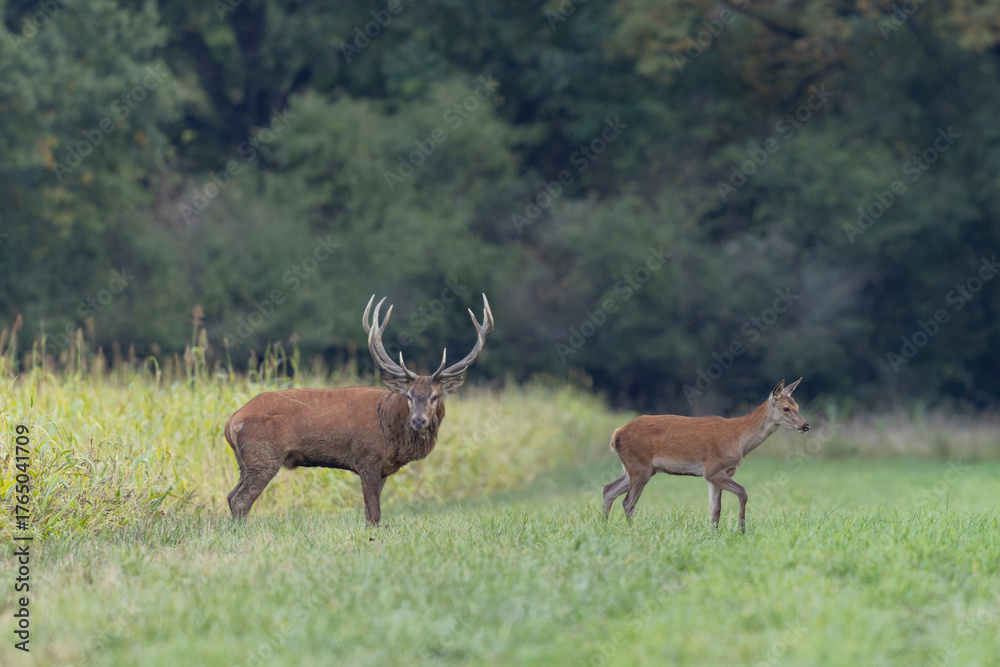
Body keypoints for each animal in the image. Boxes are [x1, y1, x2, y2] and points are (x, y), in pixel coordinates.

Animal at [224, 293, 494, 526]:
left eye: (435, 396)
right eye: (409, 395)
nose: (418, 420)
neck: (391, 430)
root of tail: (231, 422)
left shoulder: (383, 469)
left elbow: (369, 512)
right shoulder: (367, 457)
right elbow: (374, 514)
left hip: (245, 461)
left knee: (230, 495)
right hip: (264, 456)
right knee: (241, 500)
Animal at [602, 378, 809, 532]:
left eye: (798, 406)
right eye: (786, 408)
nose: (805, 425)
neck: (739, 440)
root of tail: (616, 434)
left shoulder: (715, 475)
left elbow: (715, 510)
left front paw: (714, 534)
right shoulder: (713, 469)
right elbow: (743, 492)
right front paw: (740, 530)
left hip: (638, 468)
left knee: (608, 489)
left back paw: (604, 527)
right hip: (640, 466)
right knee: (628, 502)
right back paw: (630, 530)